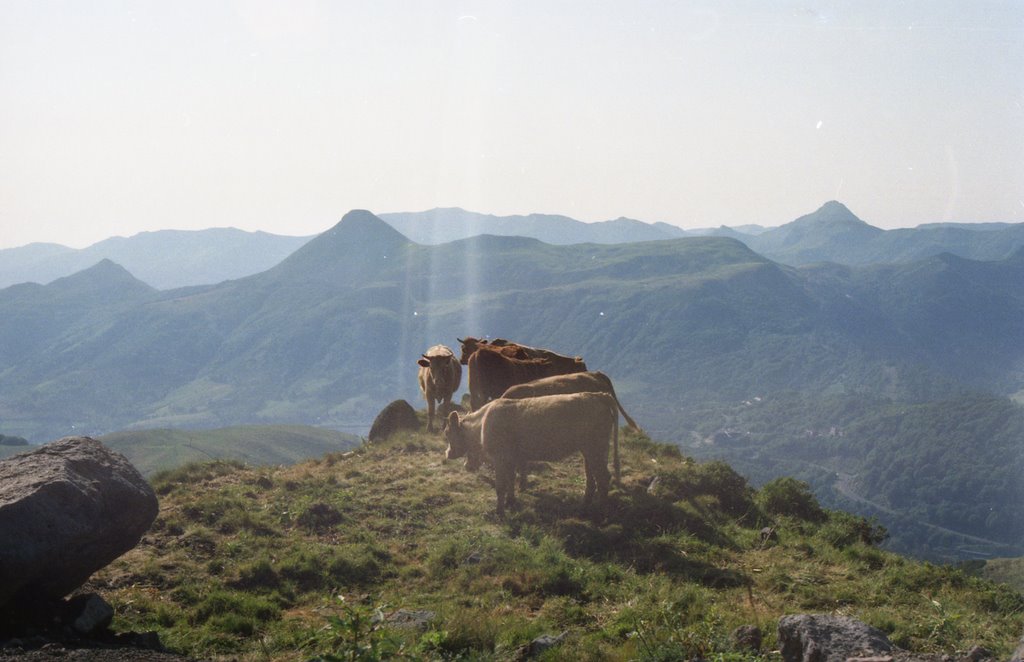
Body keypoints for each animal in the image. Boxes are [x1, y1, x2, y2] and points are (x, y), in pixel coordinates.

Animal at [444, 393, 618, 518]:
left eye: (447, 433)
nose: (448, 453)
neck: (482, 424)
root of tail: (597, 395)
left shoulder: (500, 459)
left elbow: (501, 486)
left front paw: (499, 511)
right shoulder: (512, 459)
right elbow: (511, 480)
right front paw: (511, 502)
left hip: (595, 449)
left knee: (603, 478)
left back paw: (601, 513)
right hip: (588, 451)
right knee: (591, 478)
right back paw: (583, 507)